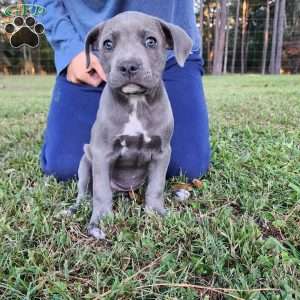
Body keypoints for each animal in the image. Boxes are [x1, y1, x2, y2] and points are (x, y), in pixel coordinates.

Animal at [65, 11, 192, 239]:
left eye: (151, 41)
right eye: (107, 44)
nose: (128, 66)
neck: (136, 102)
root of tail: (124, 190)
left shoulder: (162, 152)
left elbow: (156, 186)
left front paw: (156, 212)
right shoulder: (101, 153)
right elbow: (101, 192)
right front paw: (100, 221)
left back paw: (179, 192)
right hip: (85, 161)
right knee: (84, 192)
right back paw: (73, 209)